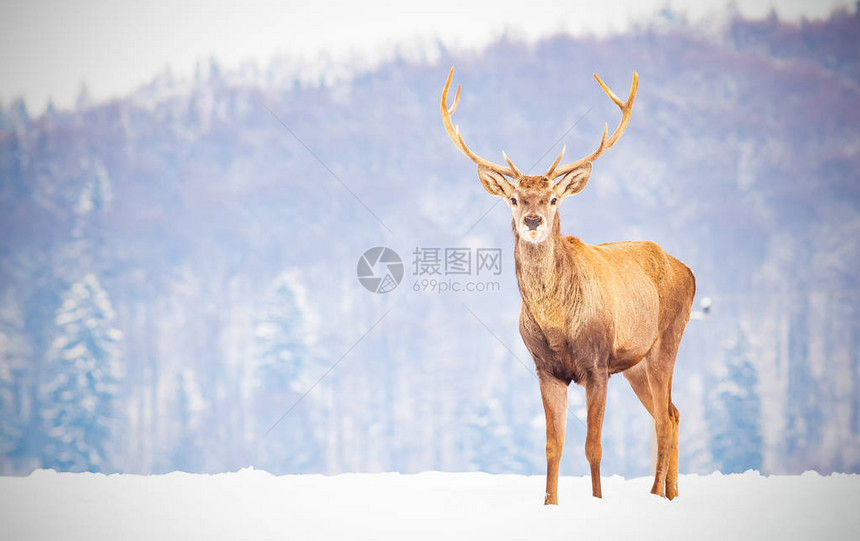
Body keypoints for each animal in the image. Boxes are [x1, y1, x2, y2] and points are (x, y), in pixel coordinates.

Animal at [440, 67, 696, 502]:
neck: (558, 325)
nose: (533, 220)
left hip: (666, 339)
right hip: (635, 364)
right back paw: (671, 493)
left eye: (554, 198)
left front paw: (596, 500)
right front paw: (550, 502)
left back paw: (656, 494)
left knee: (664, 418)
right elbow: (552, 444)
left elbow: (594, 445)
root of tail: (690, 271)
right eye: (513, 198)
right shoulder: (545, 368)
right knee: (673, 413)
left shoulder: (597, 364)